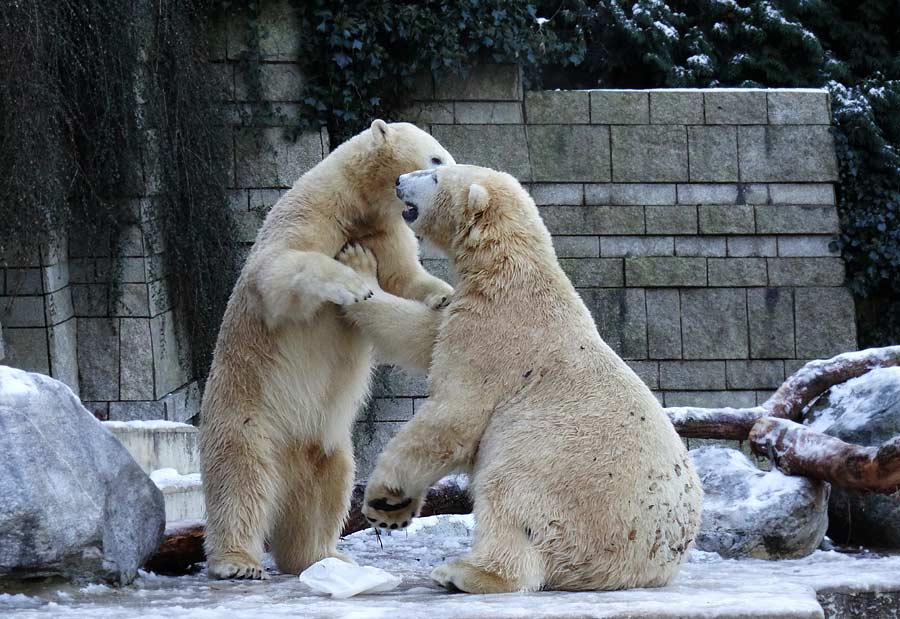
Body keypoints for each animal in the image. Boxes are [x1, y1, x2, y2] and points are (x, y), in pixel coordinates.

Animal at [202, 120, 458, 580]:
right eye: (435, 157)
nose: (448, 175)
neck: (358, 202)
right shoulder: (310, 215)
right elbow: (282, 270)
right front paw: (352, 283)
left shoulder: (383, 231)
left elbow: (404, 277)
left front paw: (443, 295)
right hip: (248, 416)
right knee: (241, 478)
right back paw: (237, 561)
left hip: (328, 444)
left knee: (327, 490)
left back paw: (322, 555)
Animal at [338, 166, 704, 596]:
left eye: (435, 173)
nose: (399, 180)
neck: (511, 272)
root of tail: (641, 567)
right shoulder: (466, 314)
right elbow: (417, 334)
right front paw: (358, 268)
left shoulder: (497, 338)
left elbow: (452, 419)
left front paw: (384, 500)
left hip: (564, 479)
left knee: (508, 496)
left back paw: (464, 573)